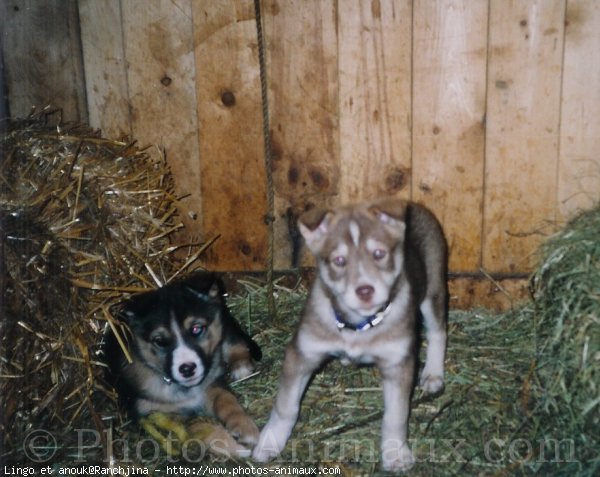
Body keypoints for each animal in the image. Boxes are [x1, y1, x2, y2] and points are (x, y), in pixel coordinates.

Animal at [105, 272, 260, 450]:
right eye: (160, 341)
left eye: (196, 329)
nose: (187, 369)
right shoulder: (155, 414)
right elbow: (198, 426)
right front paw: (229, 445)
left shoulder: (212, 385)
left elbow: (226, 399)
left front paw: (244, 426)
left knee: (234, 340)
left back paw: (241, 366)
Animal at [251, 198, 448, 472]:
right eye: (339, 260)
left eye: (379, 254)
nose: (365, 290)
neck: (358, 327)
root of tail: (414, 204)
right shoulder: (302, 353)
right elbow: (285, 406)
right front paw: (270, 441)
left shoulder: (397, 363)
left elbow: (395, 416)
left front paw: (395, 453)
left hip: (433, 288)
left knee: (439, 330)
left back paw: (433, 374)